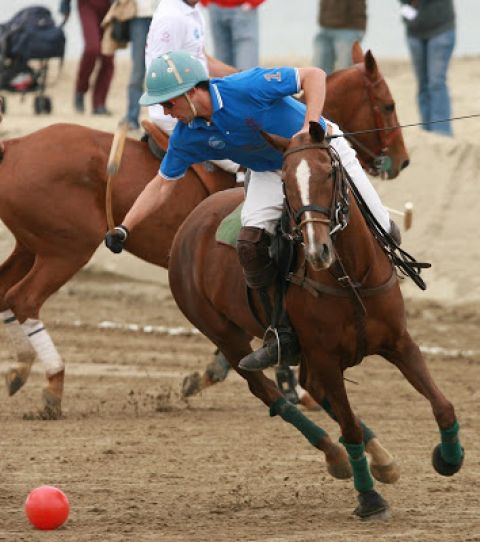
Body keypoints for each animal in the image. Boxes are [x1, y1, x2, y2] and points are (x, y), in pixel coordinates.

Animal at [0, 44, 408, 418]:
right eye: (388, 105)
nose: (402, 161)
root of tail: (14, 145)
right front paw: (286, 384)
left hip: (31, 245)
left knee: (6, 295)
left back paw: (19, 370)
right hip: (66, 249)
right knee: (23, 298)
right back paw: (53, 382)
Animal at [169, 123, 464, 520]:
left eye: (328, 173)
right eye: (285, 183)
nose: (316, 251)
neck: (352, 276)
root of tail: (192, 218)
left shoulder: (399, 342)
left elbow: (442, 404)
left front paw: (449, 458)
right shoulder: (324, 356)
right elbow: (349, 426)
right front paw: (369, 499)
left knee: (315, 391)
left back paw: (381, 459)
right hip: (223, 332)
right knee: (268, 391)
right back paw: (335, 453)